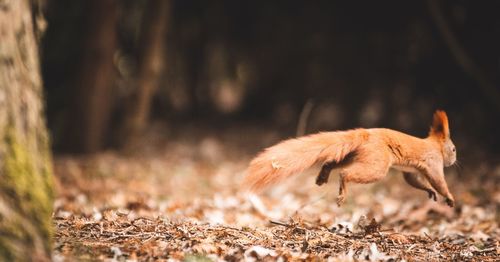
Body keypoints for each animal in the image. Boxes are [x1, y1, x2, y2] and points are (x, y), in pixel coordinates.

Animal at [243, 110, 458, 207]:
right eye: (454, 149)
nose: (454, 161)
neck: (435, 145)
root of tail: (366, 134)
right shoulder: (433, 162)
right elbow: (438, 180)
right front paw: (449, 197)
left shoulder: (411, 171)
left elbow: (414, 180)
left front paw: (430, 191)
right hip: (376, 164)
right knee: (346, 173)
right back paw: (342, 191)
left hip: (357, 154)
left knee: (332, 162)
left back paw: (323, 176)